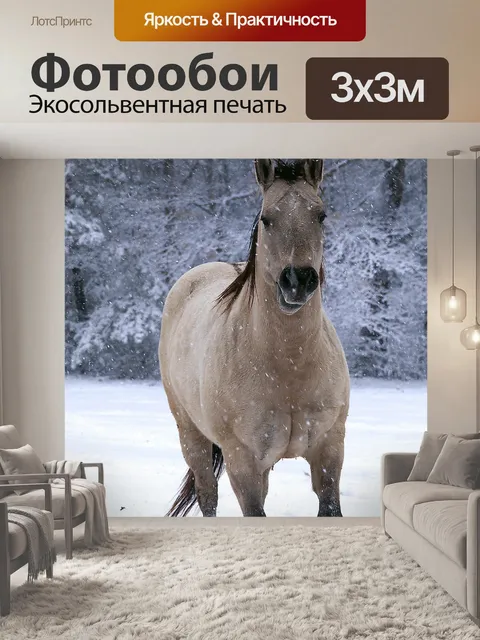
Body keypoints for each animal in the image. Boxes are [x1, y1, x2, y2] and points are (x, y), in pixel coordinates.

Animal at [159, 159, 350, 517]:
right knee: (207, 494)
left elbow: (330, 506)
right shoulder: (243, 462)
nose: (297, 281)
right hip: (192, 435)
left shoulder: (330, 448)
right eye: (266, 218)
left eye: (321, 215)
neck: (289, 366)